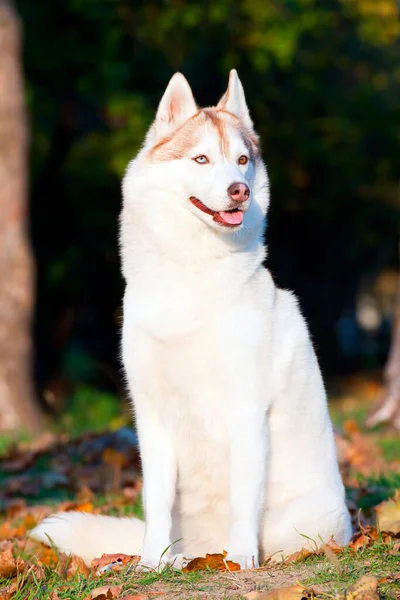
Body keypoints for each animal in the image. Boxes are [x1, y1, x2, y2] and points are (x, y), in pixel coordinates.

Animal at [30, 69, 350, 568]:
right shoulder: (151, 416)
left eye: (242, 161)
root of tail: (206, 548)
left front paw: (243, 560)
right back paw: (177, 560)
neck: (191, 277)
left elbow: (243, 498)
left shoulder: (246, 411)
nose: (239, 190)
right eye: (201, 158)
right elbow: (155, 499)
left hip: (306, 522)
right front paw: (149, 564)